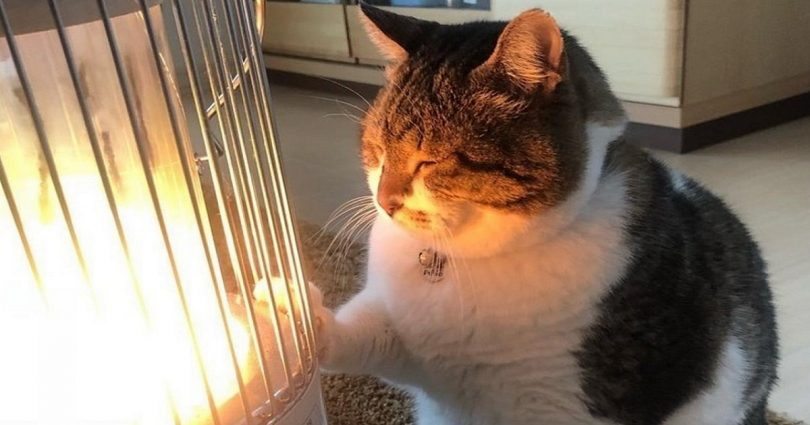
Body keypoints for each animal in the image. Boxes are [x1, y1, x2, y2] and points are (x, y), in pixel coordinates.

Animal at [304, 6, 776, 424]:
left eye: (430, 162)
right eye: (377, 149)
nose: (384, 201)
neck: (460, 260)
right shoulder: (404, 338)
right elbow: (365, 334)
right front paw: (297, 318)